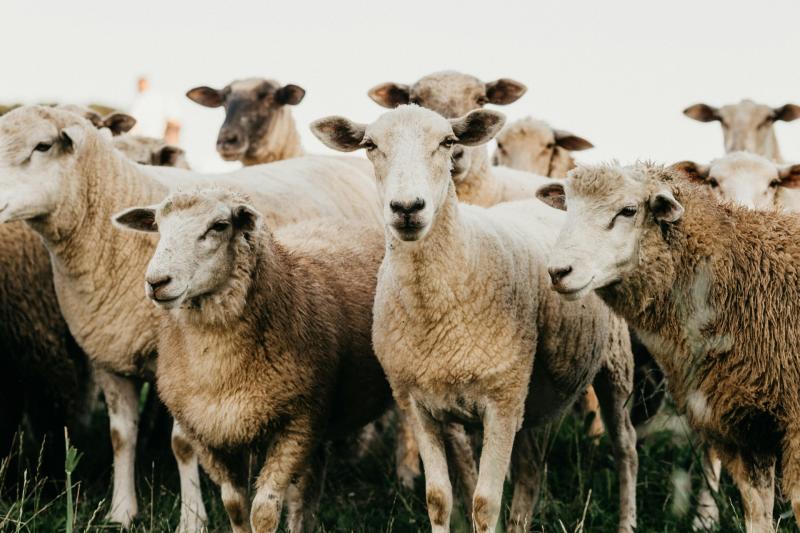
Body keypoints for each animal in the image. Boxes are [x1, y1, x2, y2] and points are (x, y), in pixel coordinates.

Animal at [112, 186, 393, 533]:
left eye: (219, 226)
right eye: (158, 226)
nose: (156, 281)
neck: (220, 367)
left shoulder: (297, 424)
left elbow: (263, 510)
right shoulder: (212, 433)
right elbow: (234, 505)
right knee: (310, 485)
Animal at [312, 104, 638, 533]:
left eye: (448, 142)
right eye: (370, 145)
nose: (407, 208)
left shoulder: (500, 401)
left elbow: (484, 503)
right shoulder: (420, 404)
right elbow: (438, 499)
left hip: (612, 362)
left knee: (626, 445)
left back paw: (627, 519)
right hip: (531, 392)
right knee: (531, 468)